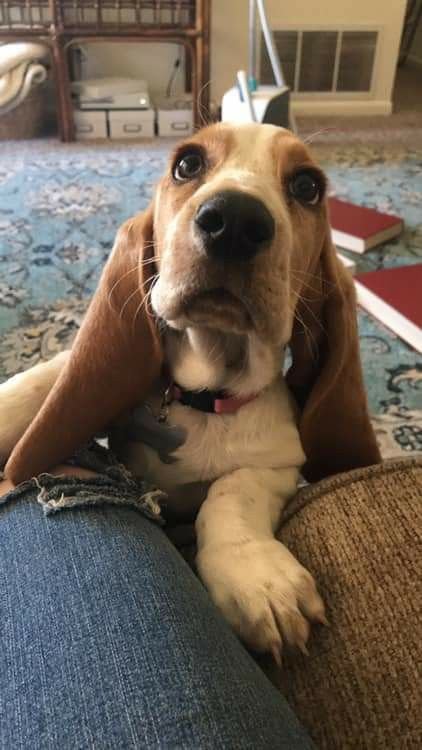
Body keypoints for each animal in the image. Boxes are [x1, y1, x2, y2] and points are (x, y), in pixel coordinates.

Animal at [0, 125, 380, 664]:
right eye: (187, 164)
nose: (236, 219)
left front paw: (258, 579)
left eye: (307, 186)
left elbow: (233, 490)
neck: (202, 395)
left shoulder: (281, 462)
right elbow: (44, 380)